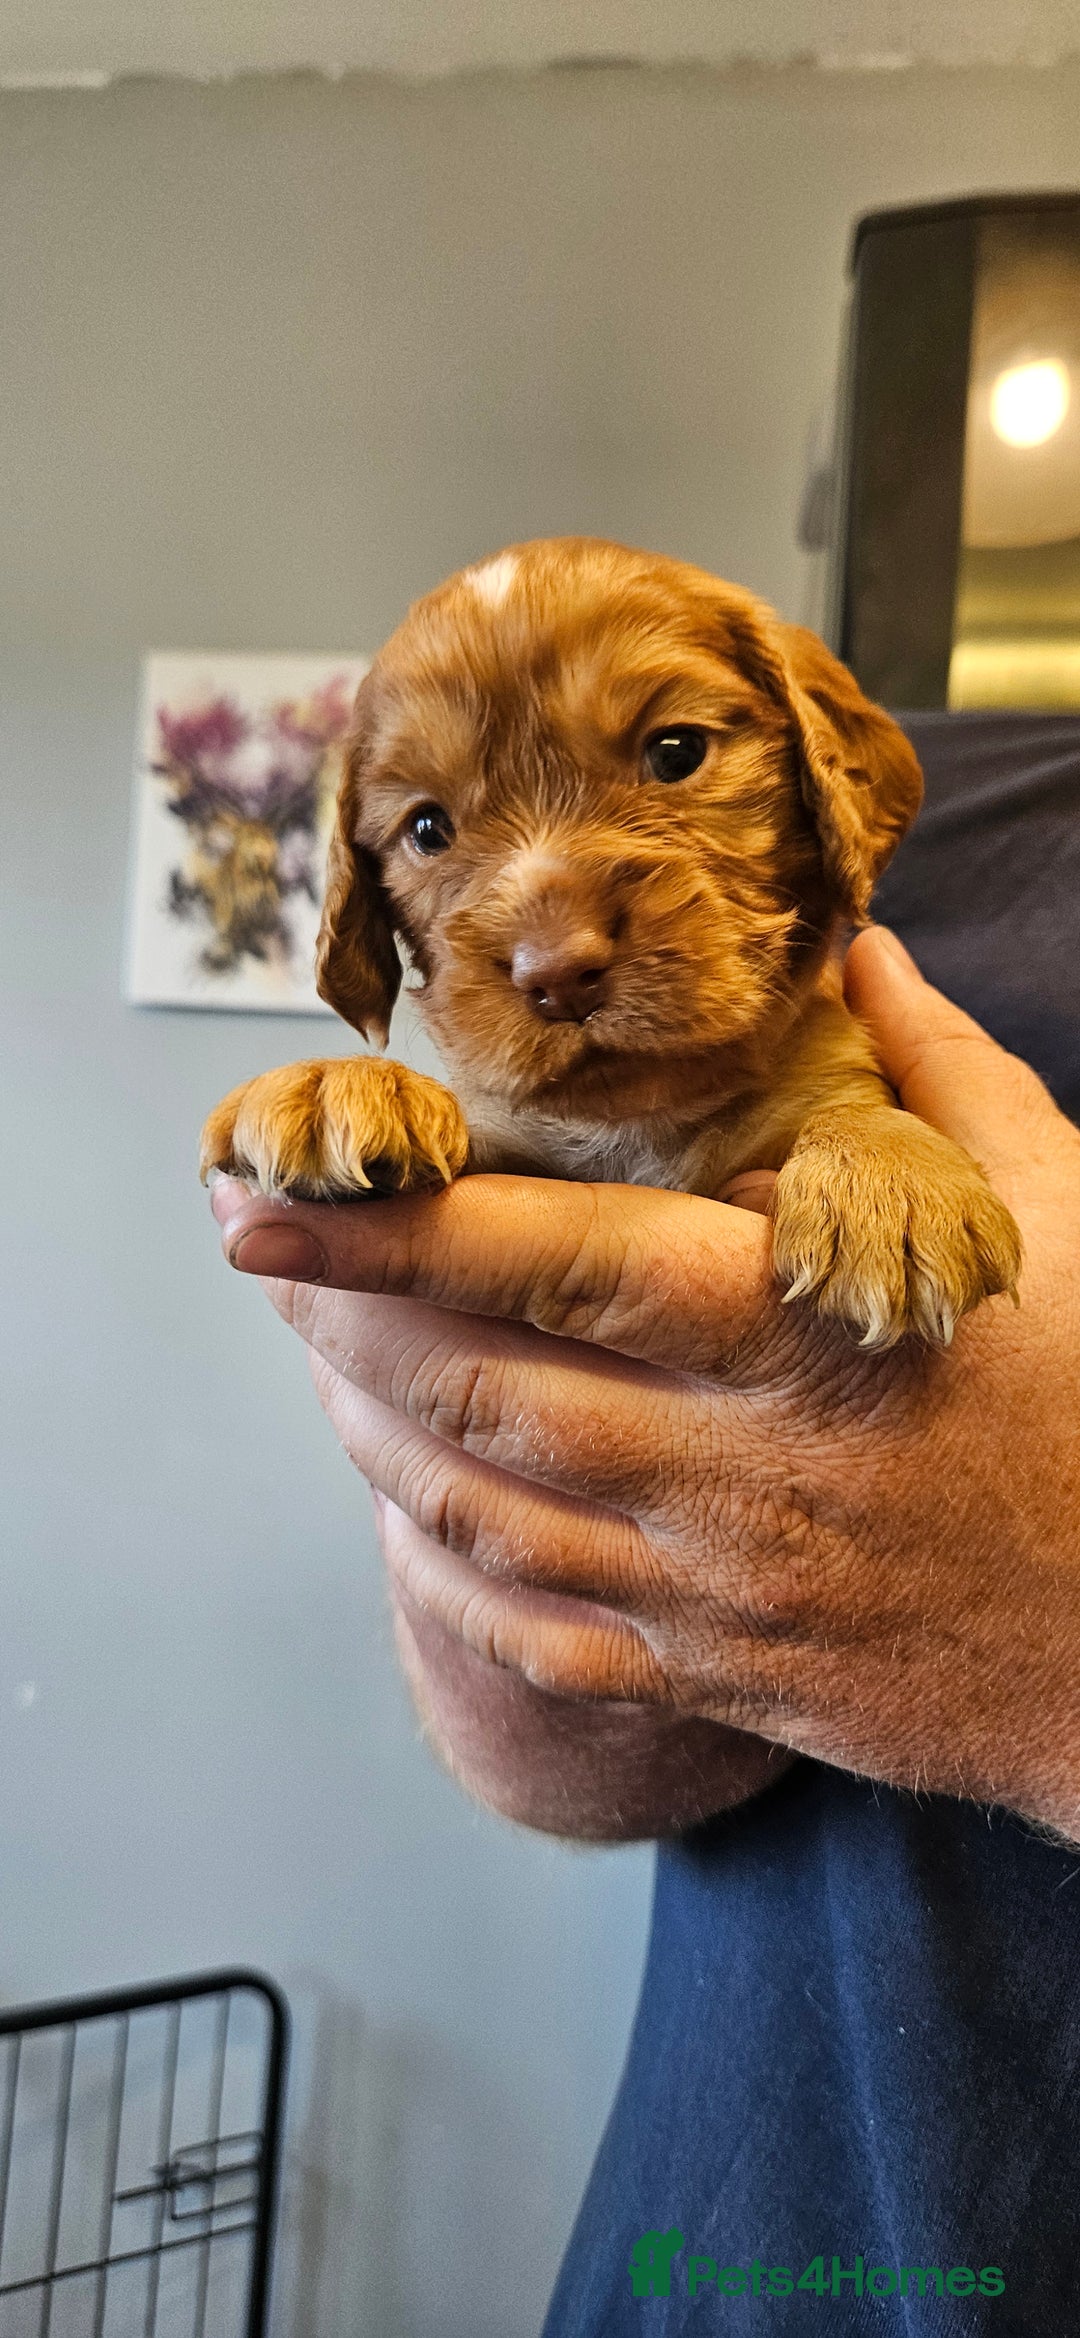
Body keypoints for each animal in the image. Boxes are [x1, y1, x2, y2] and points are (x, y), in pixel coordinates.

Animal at [200, 537, 1021, 1347]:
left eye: (677, 752)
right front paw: (340, 1082)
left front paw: (896, 1180)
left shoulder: (823, 1074)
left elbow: (855, 1103)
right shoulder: (511, 1137)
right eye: (428, 828)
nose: (557, 976)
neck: (638, 1122)